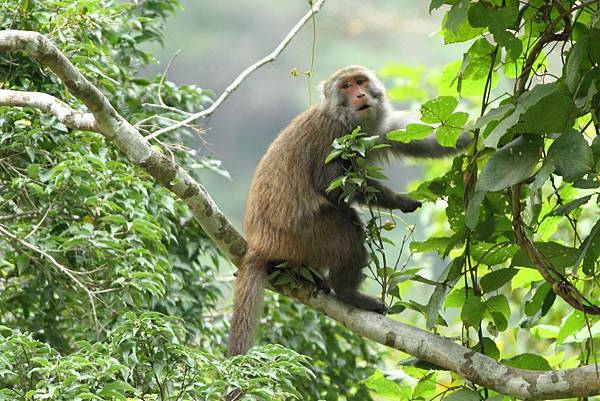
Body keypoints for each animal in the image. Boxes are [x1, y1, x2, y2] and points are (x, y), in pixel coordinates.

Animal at [227, 65, 472, 356]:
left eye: (360, 81)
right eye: (346, 86)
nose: (360, 94)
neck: (343, 117)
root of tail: (258, 242)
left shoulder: (376, 129)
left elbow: (418, 136)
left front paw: (479, 132)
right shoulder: (334, 136)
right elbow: (330, 185)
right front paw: (399, 201)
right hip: (302, 236)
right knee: (348, 230)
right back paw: (347, 292)